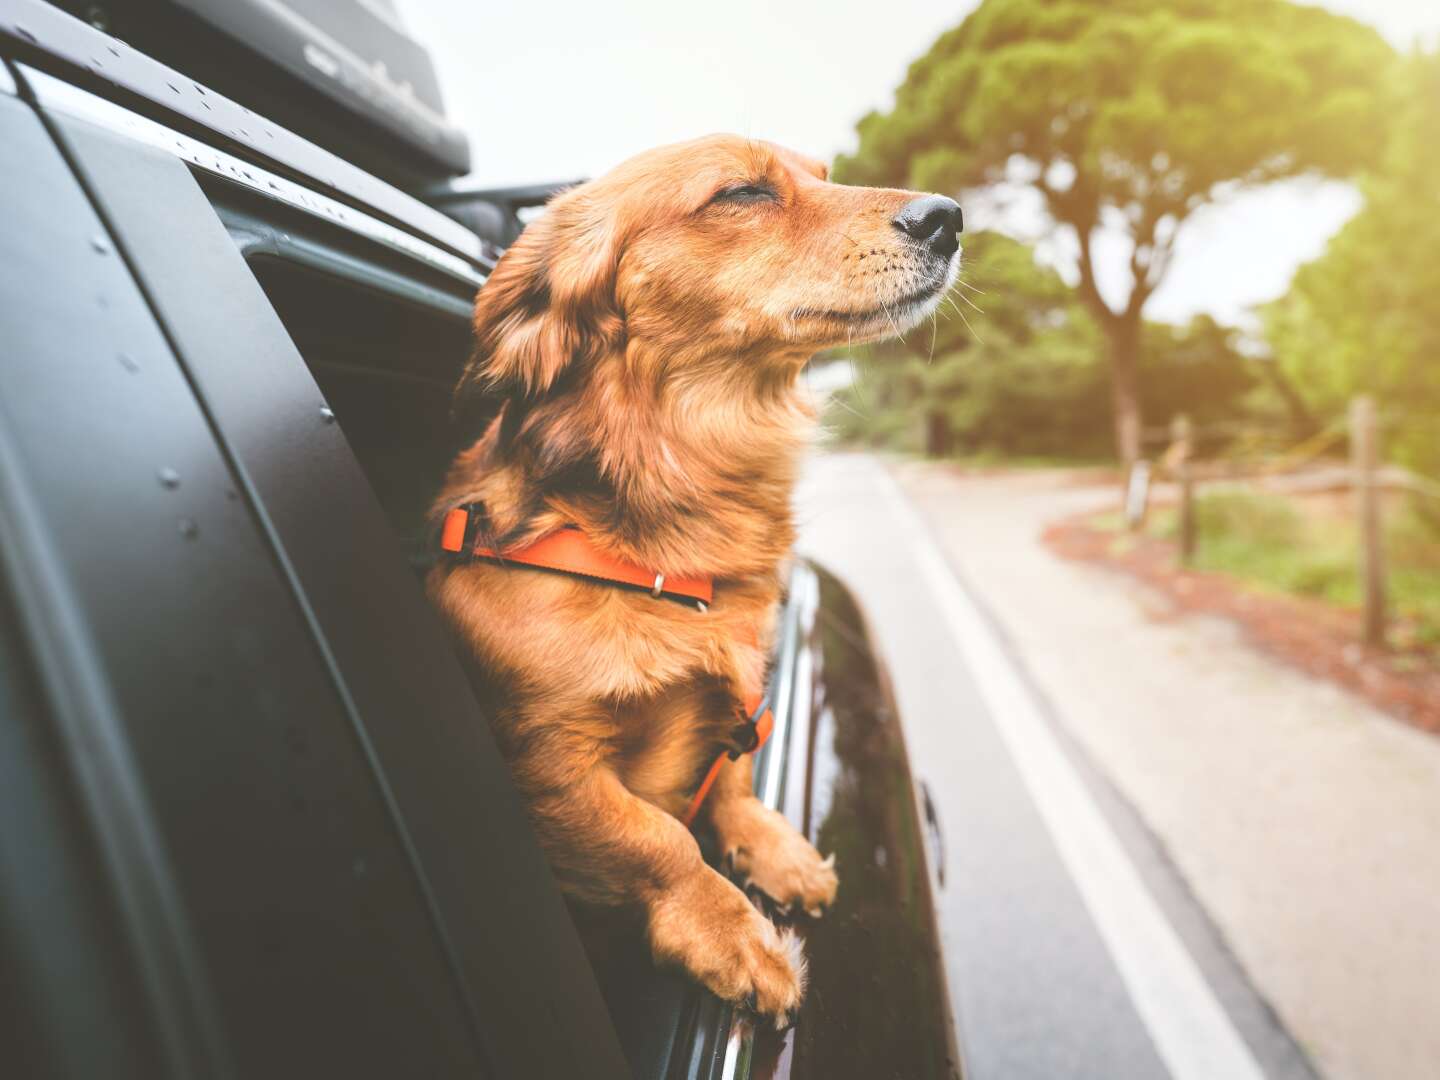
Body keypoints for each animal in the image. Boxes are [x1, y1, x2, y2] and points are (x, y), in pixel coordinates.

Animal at [432, 135, 961, 1031]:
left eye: (825, 176)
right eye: (742, 192)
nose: (950, 218)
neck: (655, 556)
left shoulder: (744, 698)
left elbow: (733, 782)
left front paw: (773, 849)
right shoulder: (550, 763)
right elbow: (656, 840)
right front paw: (729, 931)